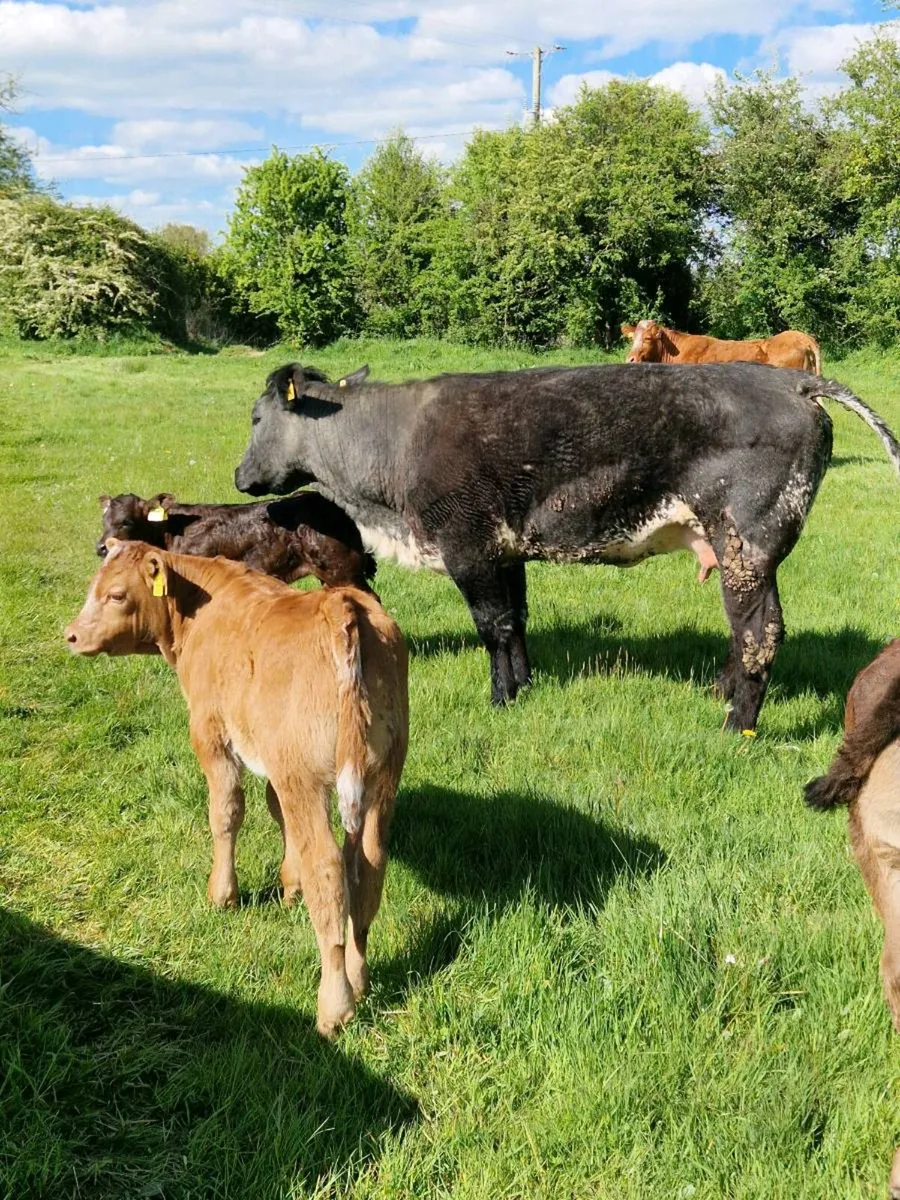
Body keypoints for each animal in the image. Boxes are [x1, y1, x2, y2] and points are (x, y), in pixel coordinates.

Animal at [64, 541, 409, 1036]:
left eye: (115, 595)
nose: (71, 636)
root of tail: (340, 603)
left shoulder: (211, 734)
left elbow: (226, 812)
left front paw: (222, 894)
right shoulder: (273, 758)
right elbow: (276, 811)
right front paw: (289, 886)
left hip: (307, 777)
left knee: (328, 870)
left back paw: (335, 1005)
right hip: (381, 776)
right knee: (368, 865)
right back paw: (359, 978)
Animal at [234, 362, 900, 732]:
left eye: (254, 418)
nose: (240, 477)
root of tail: (792, 380)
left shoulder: (467, 543)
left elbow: (492, 626)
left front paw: (501, 698)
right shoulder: (504, 550)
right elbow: (517, 620)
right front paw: (525, 686)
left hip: (748, 538)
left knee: (759, 631)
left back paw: (736, 722)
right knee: (746, 632)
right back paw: (721, 692)